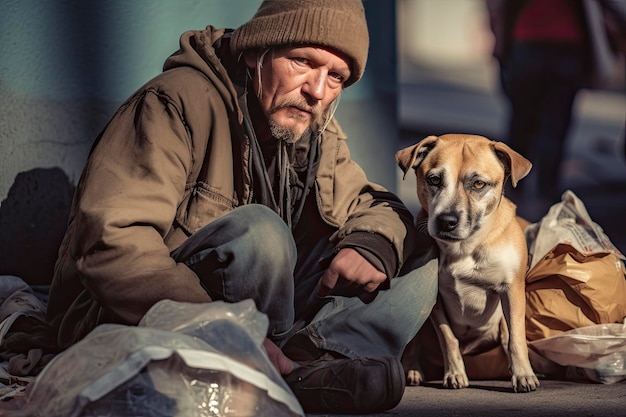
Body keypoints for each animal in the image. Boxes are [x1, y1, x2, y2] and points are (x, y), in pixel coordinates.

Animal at [394, 134, 536, 394]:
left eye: (479, 184)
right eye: (434, 179)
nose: (446, 221)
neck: (464, 247)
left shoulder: (512, 290)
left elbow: (516, 337)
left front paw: (523, 375)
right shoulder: (436, 300)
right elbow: (448, 338)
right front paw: (454, 374)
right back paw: (412, 369)